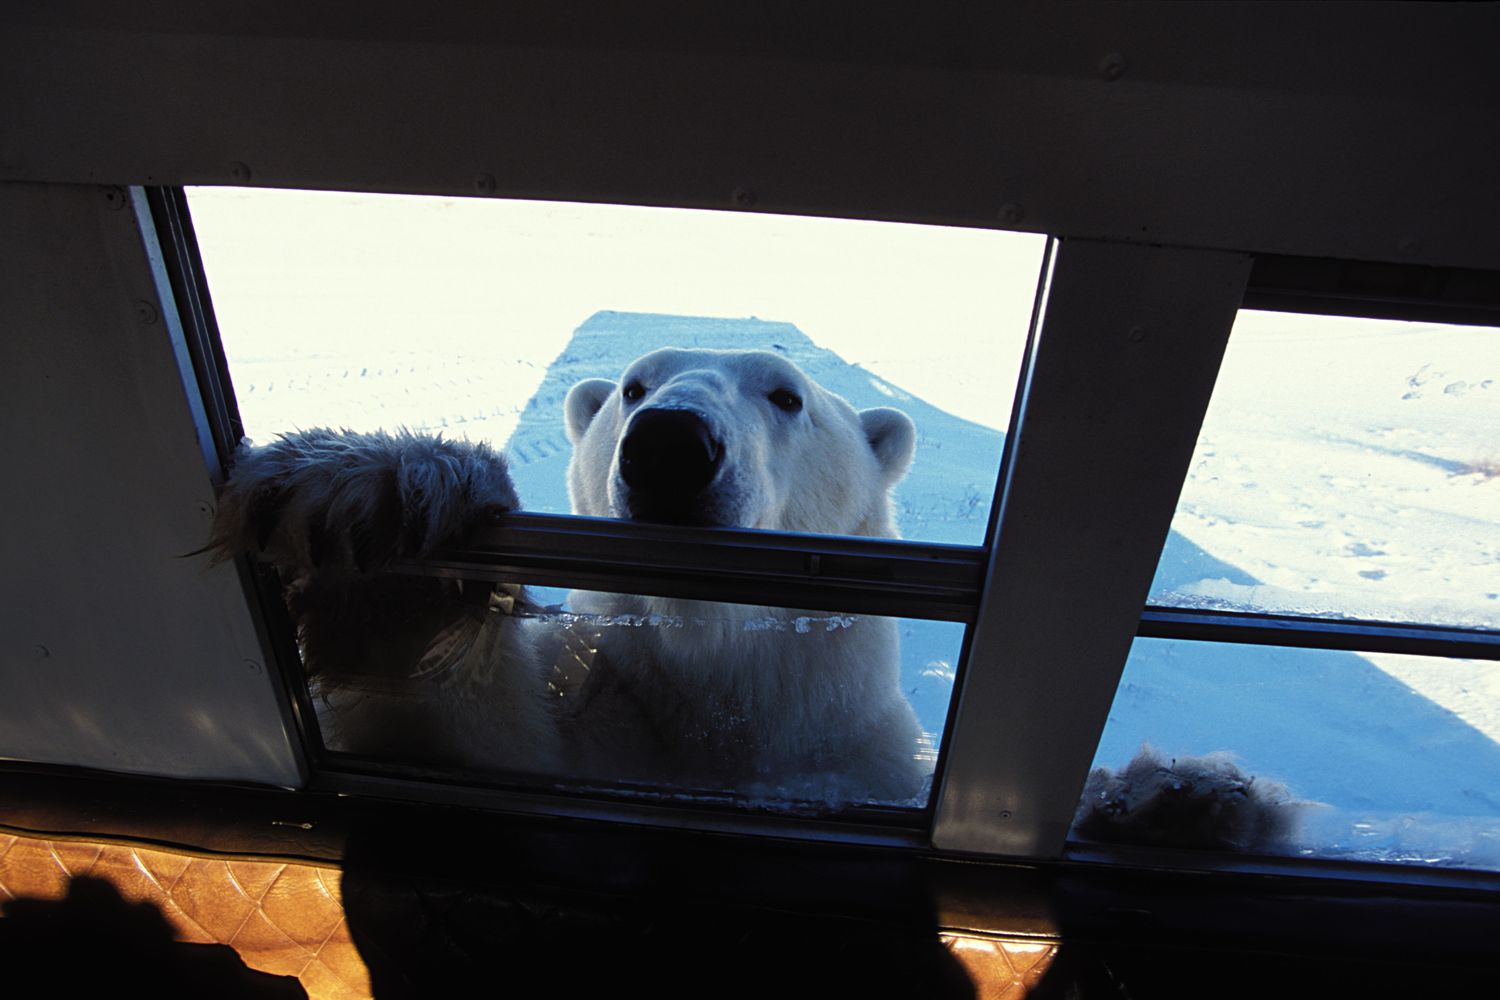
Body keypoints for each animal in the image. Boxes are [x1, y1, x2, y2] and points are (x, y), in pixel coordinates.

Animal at [210, 348, 930, 804]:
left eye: (786, 395)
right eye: (634, 386)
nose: (669, 444)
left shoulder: (857, 757)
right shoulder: (604, 705)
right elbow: (457, 740)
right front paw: (370, 525)